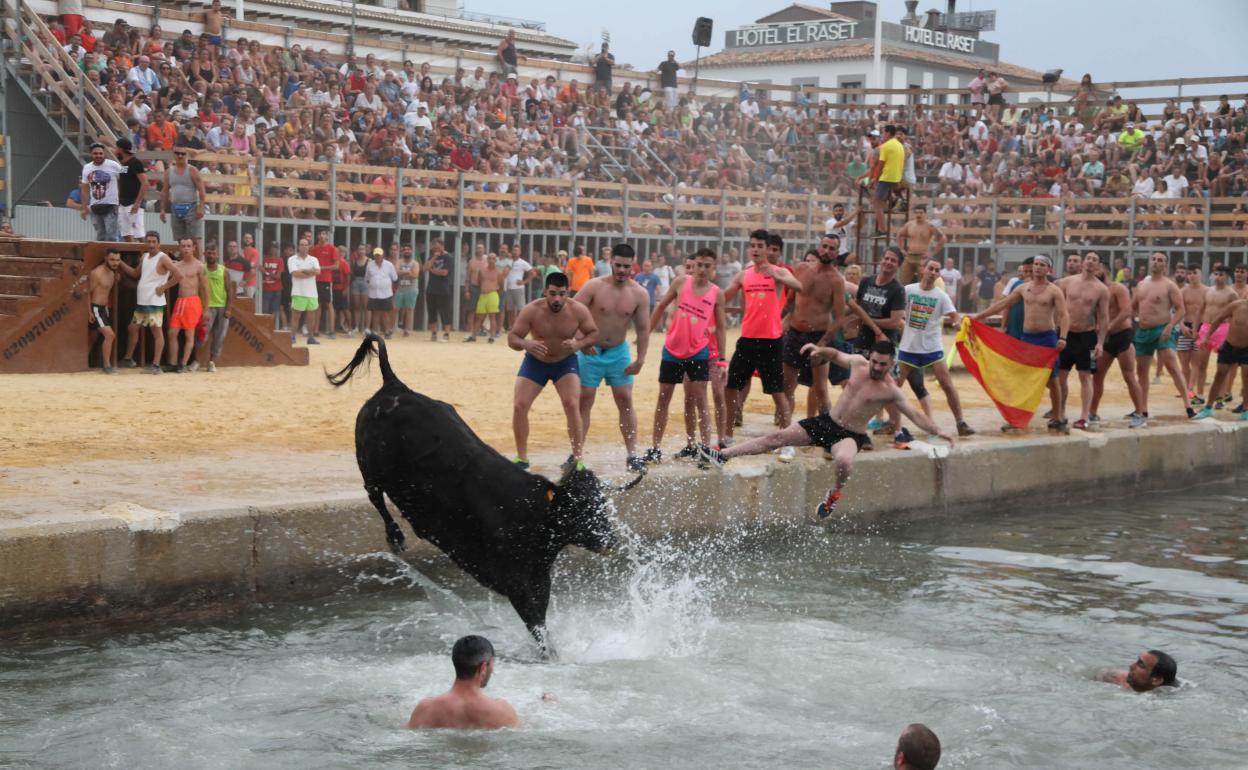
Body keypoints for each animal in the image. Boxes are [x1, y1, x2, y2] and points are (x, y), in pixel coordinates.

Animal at [329, 334, 643, 653]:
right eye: (580, 507)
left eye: (602, 504)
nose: (609, 540)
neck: (531, 513)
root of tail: (394, 387)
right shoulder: (514, 581)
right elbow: (536, 626)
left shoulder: (539, 579)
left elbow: (541, 622)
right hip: (370, 465)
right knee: (375, 496)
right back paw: (395, 537)